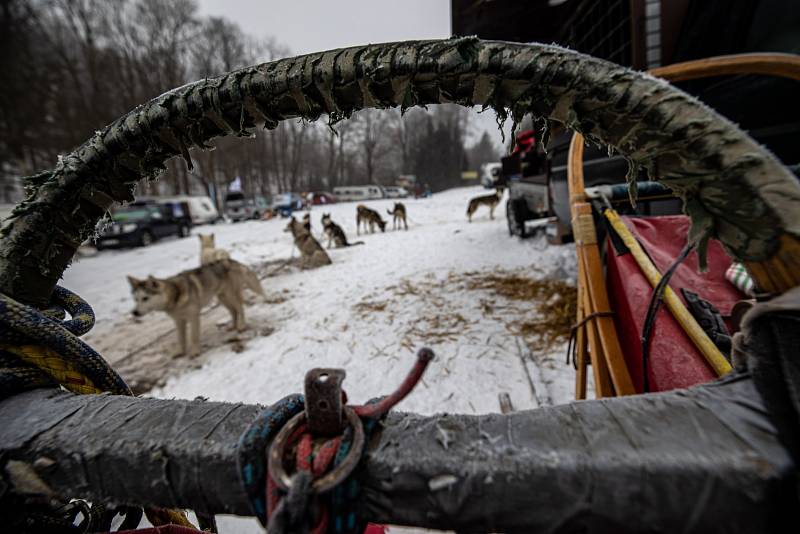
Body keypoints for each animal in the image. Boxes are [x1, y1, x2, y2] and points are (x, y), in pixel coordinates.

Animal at [125, 258, 262, 358]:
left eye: (145, 298)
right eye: (135, 299)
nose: (134, 313)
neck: (176, 295)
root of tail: (231, 260)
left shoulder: (193, 317)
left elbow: (193, 336)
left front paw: (195, 352)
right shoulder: (179, 321)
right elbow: (181, 339)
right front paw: (180, 352)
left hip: (230, 296)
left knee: (240, 308)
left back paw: (241, 326)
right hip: (222, 298)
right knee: (234, 311)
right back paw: (233, 326)